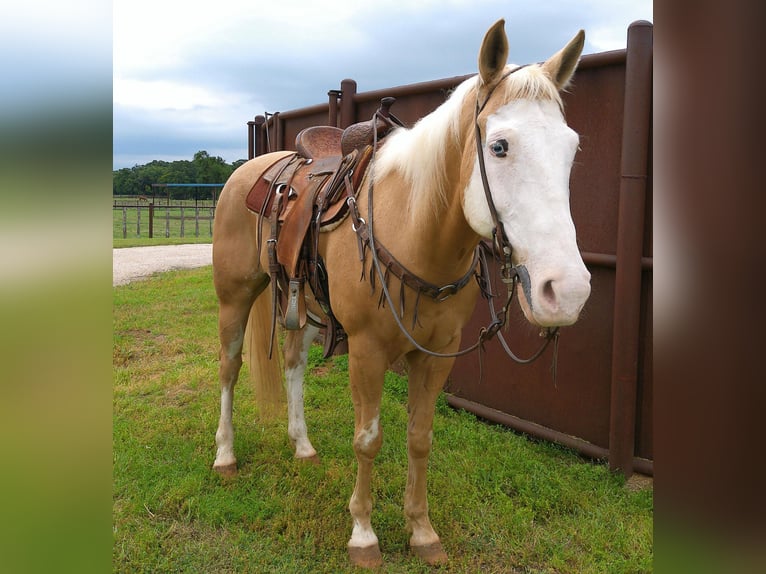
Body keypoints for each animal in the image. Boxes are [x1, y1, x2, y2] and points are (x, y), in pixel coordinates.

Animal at [213, 20, 592, 568]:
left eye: (571, 148)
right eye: (499, 146)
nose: (566, 291)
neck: (414, 227)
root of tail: (252, 167)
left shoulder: (436, 356)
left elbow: (419, 438)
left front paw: (421, 531)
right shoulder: (367, 352)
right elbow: (368, 440)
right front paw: (363, 535)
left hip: (303, 308)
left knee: (292, 364)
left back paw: (302, 446)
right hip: (234, 297)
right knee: (229, 366)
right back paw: (224, 455)